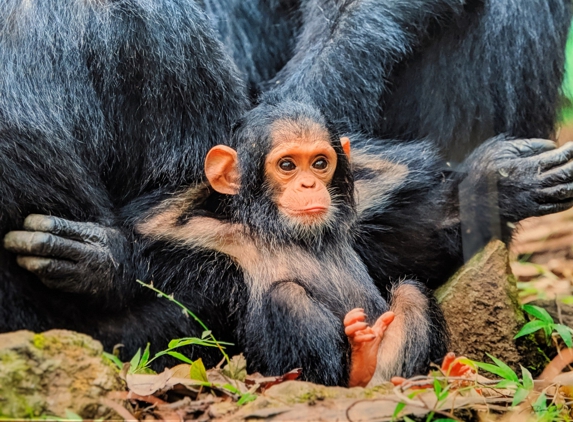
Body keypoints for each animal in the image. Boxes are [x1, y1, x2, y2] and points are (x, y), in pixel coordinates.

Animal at [1, 0, 572, 386]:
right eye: (287, 164)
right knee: (283, 298)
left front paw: (491, 185)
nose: (306, 183)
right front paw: (109, 259)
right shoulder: (154, 29)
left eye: (319, 163)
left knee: (407, 291)